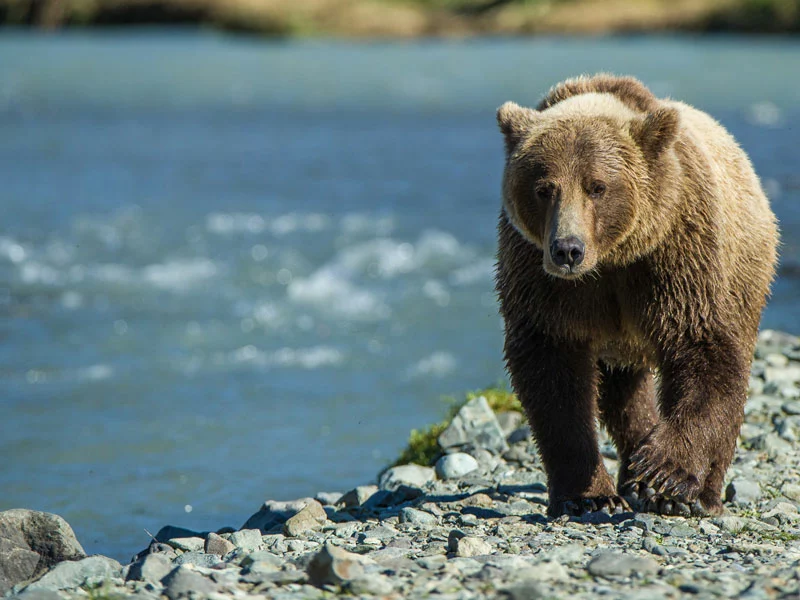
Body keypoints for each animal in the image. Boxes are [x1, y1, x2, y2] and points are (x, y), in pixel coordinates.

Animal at [496, 74, 780, 516]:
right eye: (544, 188)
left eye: (597, 186)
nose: (567, 249)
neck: (612, 257)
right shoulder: (542, 278)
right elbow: (551, 369)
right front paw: (588, 496)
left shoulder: (675, 254)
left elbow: (703, 348)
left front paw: (667, 473)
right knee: (624, 395)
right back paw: (635, 465)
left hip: (746, 272)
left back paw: (700, 495)